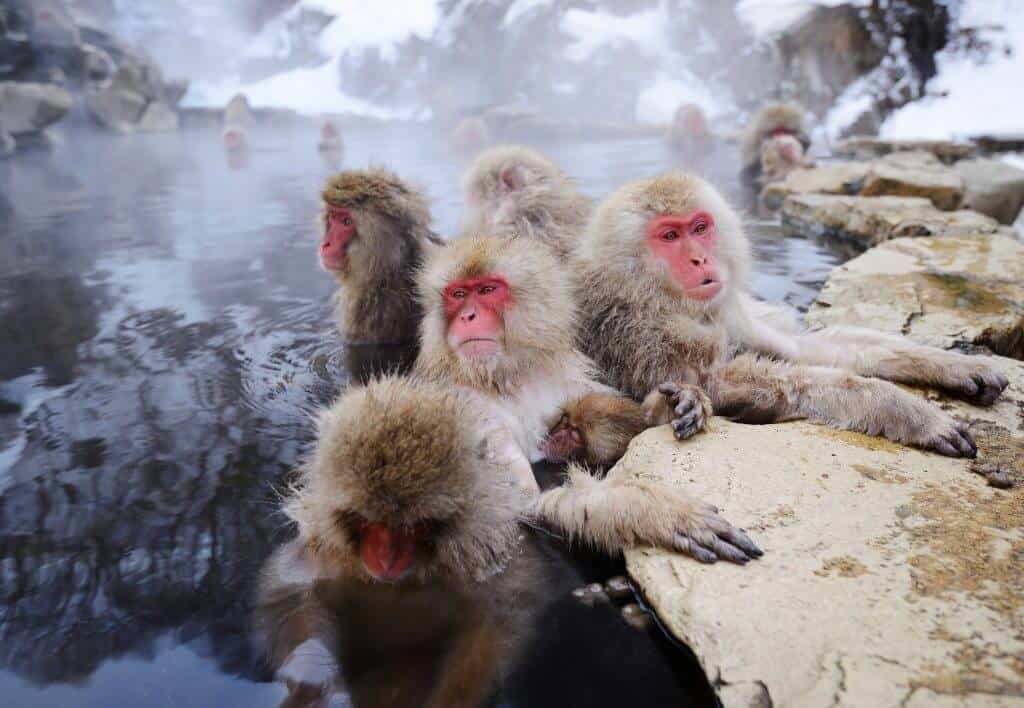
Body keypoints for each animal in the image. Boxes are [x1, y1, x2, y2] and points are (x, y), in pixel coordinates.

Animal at [413, 233, 761, 564]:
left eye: (487, 289)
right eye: (458, 295)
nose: (468, 316)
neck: (509, 378)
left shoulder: (568, 377)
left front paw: (676, 404)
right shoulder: (471, 408)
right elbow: (522, 506)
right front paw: (648, 510)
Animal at [574, 171, 1010, 459]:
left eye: (698, 228)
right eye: (669, 236)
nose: (700, 259)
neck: (649, 294)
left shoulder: (728, 312)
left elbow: (802, 346)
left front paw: (954, 364)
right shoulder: (637, 334)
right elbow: (722, 383)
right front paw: (907, 411)